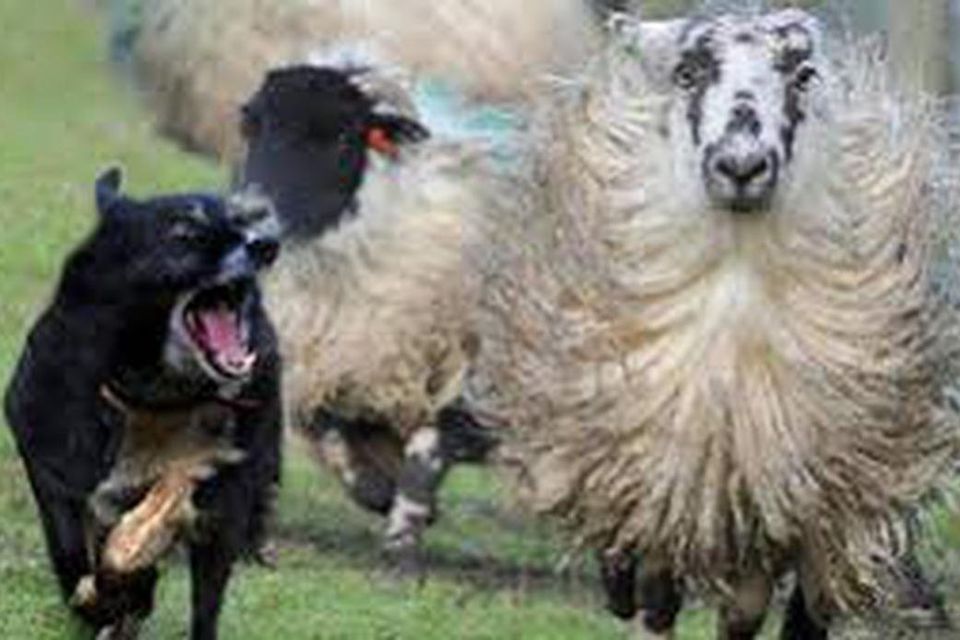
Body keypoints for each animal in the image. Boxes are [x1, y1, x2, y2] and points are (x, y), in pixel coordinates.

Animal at [4, 170, 282, 640]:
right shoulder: (50, 458)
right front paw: (101, 599)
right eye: (184, 231)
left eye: (238, 221)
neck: (154, 392)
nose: (266, 243)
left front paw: (128, 576)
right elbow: (72, 549)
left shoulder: (220, 480)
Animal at [468, 10, 960, 640]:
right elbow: (656, 595)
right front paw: (635, 602)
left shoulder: (795, 504)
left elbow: (751, 606)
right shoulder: (660, 482)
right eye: (687, 72)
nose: (742, 166)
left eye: (802, 76)